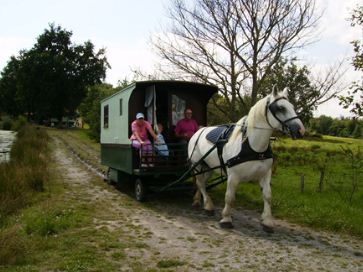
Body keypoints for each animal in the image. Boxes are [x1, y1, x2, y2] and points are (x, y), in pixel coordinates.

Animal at [189, 87, 306, 232]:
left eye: (292, 107)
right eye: (280, 108)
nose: (301, 130)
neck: (252, 145)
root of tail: (198, 131)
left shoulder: (265, 174)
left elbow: (268, 196)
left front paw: (267, 221)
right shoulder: (233, 176)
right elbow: (230, 197)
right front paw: (226, 219)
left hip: (208, 167)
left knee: (202, 183)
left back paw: (198, 201)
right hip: (198, 165)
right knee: (200, 183)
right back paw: (208, 206)